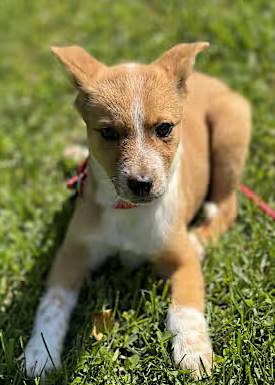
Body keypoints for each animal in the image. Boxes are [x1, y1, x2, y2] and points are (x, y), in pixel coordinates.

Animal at [23, 42, 252, 378]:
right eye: (107, 133)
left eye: (165, 128)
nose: (142, 183)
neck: (127, 211)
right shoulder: (71, 254)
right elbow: (52, 304)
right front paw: (40, 353)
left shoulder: (181, 259)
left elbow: (187, 307)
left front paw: (193, 351)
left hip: (228, 136)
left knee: (227, 206)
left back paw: (200, 239)